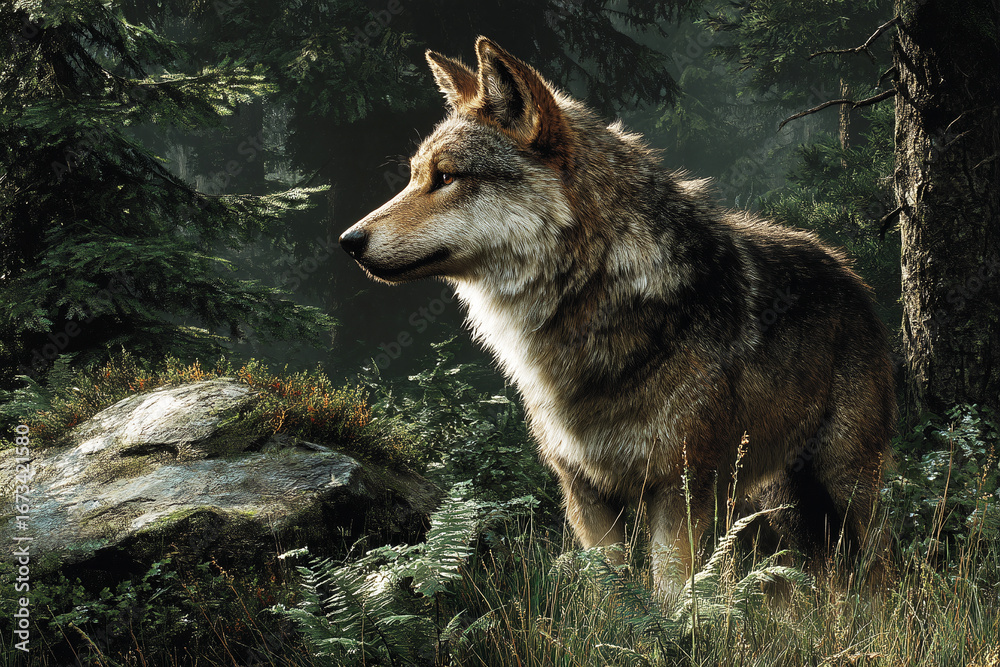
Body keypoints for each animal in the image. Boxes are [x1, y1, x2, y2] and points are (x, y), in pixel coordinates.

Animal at [339, 37, 896, 588]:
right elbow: (614, 593)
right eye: (415, 177)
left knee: (881, 562)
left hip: (847, 482)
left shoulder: (679, 491)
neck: (593, 302)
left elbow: (671, 595)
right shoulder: (585, 493)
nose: (348, 241)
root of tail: (846, 267)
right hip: (774, 500)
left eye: (447, 177)